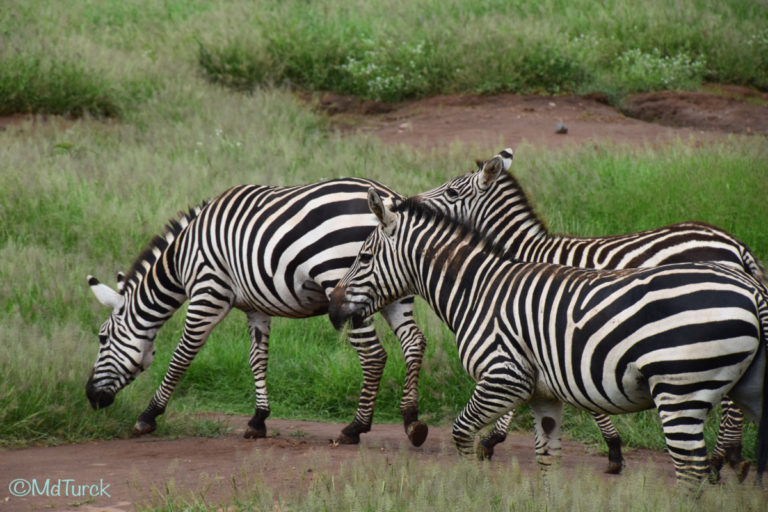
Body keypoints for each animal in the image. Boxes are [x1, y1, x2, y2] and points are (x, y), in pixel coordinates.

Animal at [88, 178, 432, 446]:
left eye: (102, 338)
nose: (90, 396)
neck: (181, 257)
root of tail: (387, 198)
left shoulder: (207, 292)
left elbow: (182, 355)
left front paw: (148, 416)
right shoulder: (255, 307)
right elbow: (258, 358)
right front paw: (258, 420)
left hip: (345, 283)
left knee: (373, 355)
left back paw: (355, 428)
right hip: (394, 287)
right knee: (414, 342)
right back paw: (411, 421)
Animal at [328, 188, 768, 488]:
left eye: (362, 258)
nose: (331, 308)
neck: (478, 289)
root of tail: (750, 285)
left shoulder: (504, 375)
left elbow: (463, 433)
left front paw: (477, 476)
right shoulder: (546, 385)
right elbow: (547, 457)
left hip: (682, 390)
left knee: (691, 467)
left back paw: (719, 463)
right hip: (742, 388)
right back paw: (733, 461)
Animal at [414, 150, 760, 478]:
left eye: (452, 192)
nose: (411, 201)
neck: (524, 254)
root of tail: (736, 245)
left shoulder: (551, 329)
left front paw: (613, 449)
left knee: (729, 400)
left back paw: (722, 459)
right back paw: (730, 457)